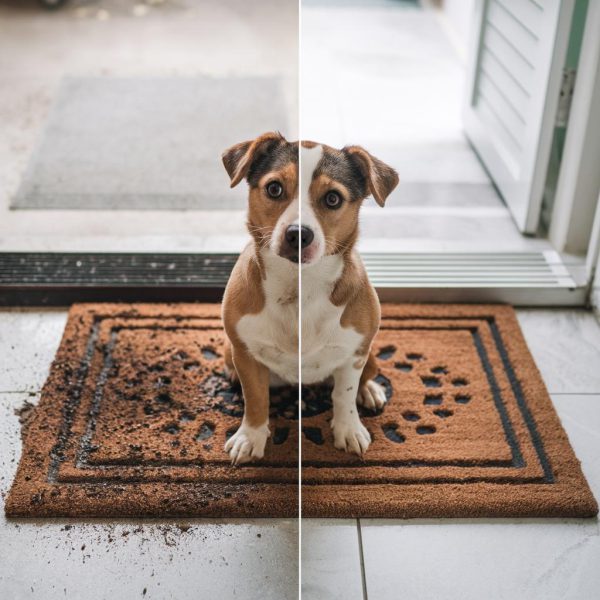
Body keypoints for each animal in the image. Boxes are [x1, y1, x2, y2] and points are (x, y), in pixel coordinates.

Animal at [220, 131, 398, 464]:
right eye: (274, 188)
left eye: (333, 198)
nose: (297, 234)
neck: (300, 288)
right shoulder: (246, 355)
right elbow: (256, 400)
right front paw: (251, 437)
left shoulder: (354, 353)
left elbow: (343, 395)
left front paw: (348, 429)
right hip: (229, 351)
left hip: (368, 353)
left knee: (365, 376)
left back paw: (369, 391)